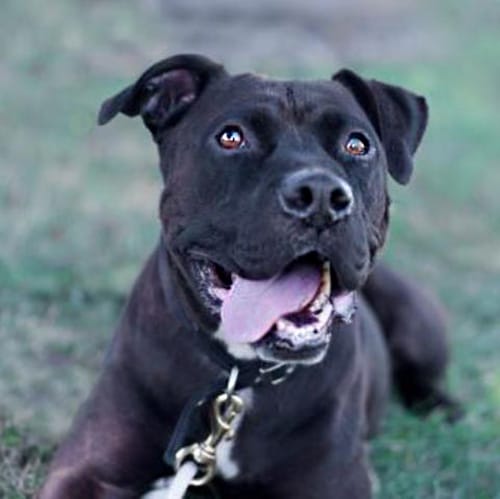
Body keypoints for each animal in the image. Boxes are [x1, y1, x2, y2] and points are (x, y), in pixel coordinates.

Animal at [39, 54, 458, 499]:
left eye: (357, 144)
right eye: (231, 138)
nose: (321, 195)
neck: (240, 378)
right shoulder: (89, 469)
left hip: (417, 319)